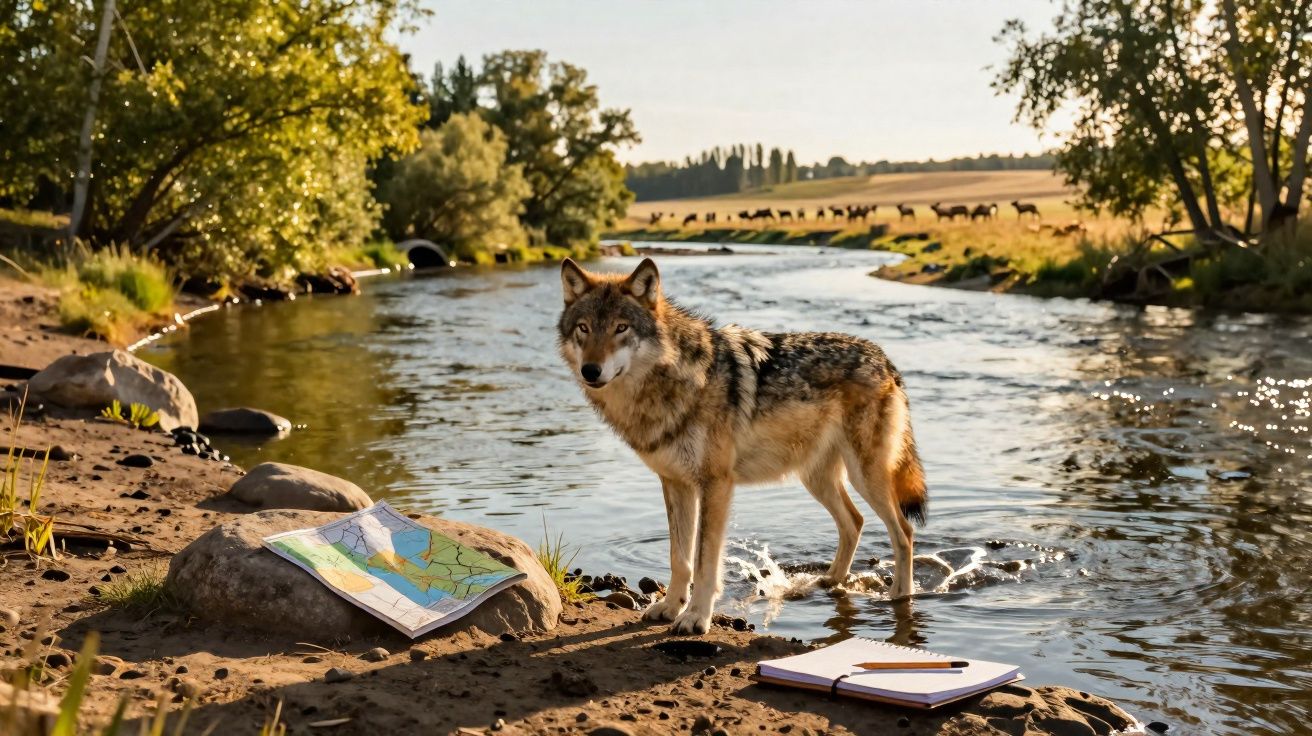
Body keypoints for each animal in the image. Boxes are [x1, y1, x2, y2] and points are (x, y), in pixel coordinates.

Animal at [557, 258, 927, 634]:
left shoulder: (716, 484)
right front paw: (671, 607)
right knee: (854, 521)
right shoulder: (675, 483)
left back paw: (900, 595)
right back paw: (830, 580)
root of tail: (884, 359)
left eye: (621, 328)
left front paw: (696, 616)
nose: (591, 370)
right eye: (584, 328)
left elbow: (704, 562)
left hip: (864, 476)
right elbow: (680, 558)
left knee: (904, 531)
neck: (675, 381)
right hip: (817, 479)